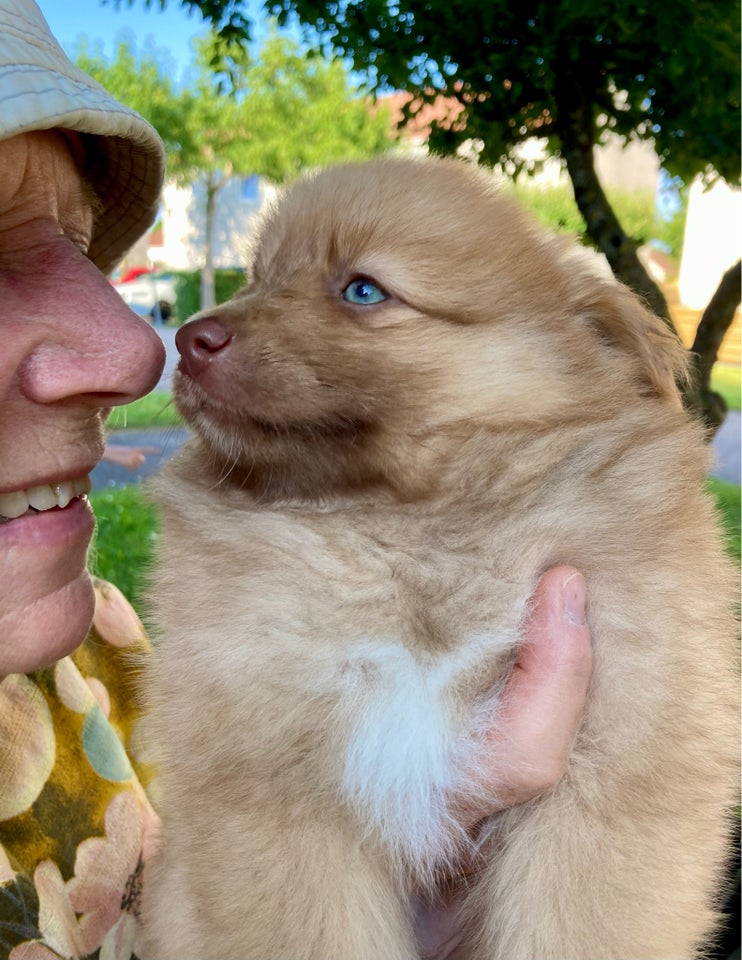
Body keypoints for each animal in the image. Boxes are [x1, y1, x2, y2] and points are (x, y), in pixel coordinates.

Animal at [142, 158, 740, 960]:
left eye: (362, 290)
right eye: (260, 277)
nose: (188, 337)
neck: (412, 534)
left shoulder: (620, 772)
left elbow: (583, 924)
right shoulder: (275, 788)